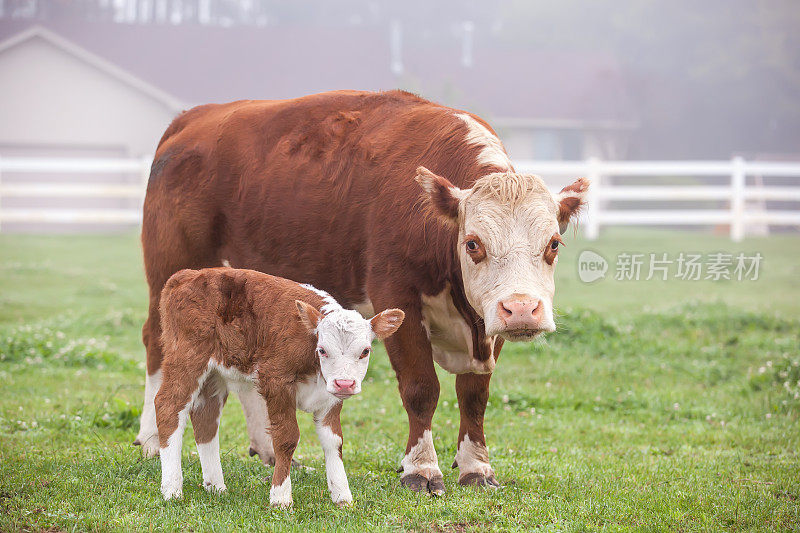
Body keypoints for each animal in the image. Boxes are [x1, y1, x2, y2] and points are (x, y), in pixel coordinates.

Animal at [155, 268, 404, 504]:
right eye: (323, 349)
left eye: (365, 351)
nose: (345, 383)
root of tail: (188, 275)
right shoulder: (276, 381)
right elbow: (286, 438)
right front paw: (281, 497)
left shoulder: (330, 396)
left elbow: (334, 442)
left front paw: (342, 495)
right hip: (187, 359)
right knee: (168, 407)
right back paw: (172, 489)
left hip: (214, 375)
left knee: (205, 418)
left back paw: (216, 486)